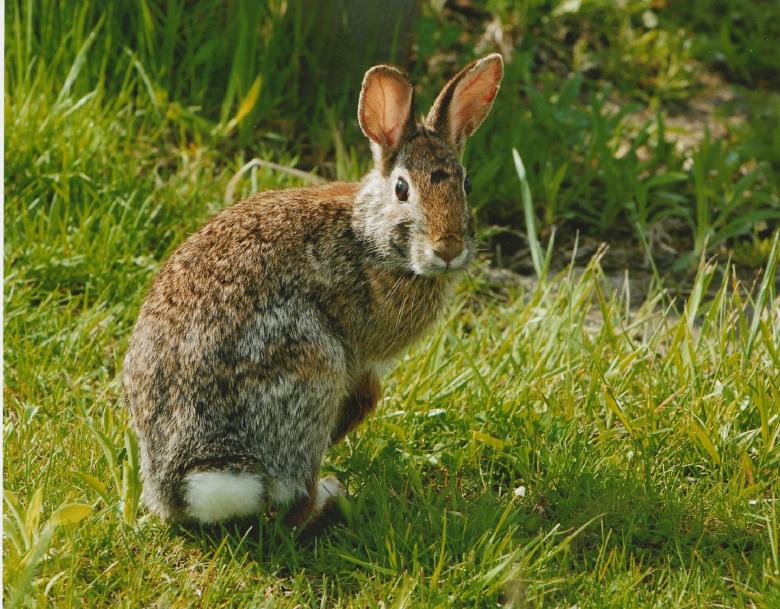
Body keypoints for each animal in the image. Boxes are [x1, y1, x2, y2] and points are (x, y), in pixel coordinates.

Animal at [122, 54, 504, 526]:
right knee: (295, 500)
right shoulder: (358, 352)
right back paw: (331, 494)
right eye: (402, 188)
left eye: (465, 184)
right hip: (310, 368)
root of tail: (182, 484)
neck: (368, 238)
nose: (448, 248)